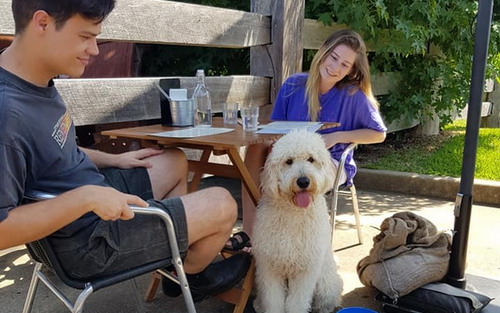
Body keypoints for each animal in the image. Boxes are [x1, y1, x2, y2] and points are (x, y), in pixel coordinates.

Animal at [254, 129, 344, 312]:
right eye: (289, 161)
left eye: (311, 159)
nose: (303, 181)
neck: (294, 211)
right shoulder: (269, 268)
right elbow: (273, 300)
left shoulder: (306, 271)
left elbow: (296, 302)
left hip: (325, 283)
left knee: (329, 297)